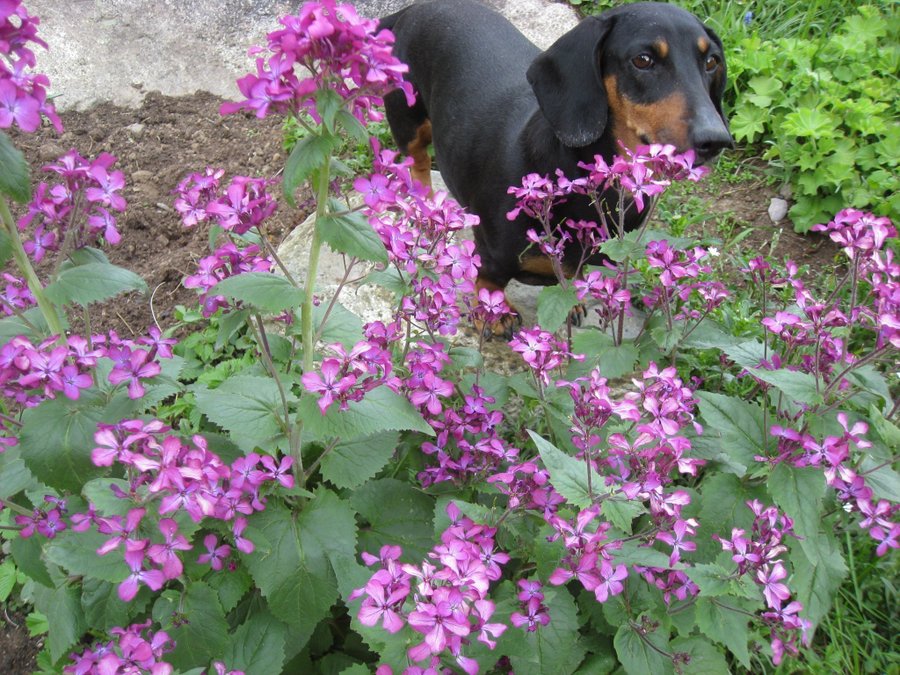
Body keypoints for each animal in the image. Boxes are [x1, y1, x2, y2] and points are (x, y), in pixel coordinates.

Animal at [380, 0, 732, 338]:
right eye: (643, 60)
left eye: (712, 61)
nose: (716, 139)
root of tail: (412, 10)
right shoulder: (491, 256)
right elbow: (489, 282)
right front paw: (495, 314)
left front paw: (572, 301)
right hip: (407, 119)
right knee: (417, 164)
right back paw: (425, 204)